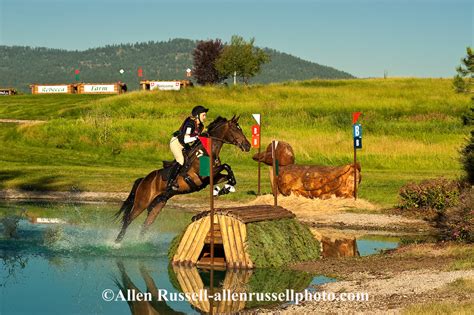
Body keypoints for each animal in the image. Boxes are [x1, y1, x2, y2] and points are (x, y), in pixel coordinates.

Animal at [115, 115, 252, 242]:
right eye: (235, 129)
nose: (248, 146)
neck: (207, 152)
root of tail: (144, 179)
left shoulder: (212, 177)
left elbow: (229, 173)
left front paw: (226, 188)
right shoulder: (203, 175)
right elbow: (226, 165)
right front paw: (223, 189)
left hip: (158, 203)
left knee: (146, 224)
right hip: (142, 202)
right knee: (128, 220)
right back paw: (118, 242)